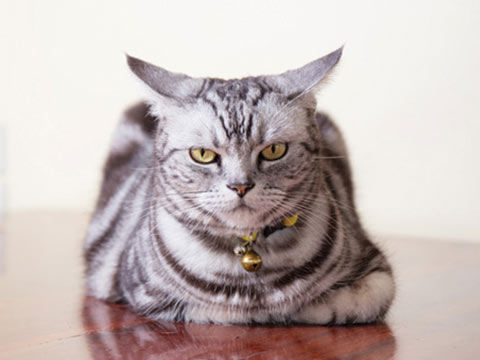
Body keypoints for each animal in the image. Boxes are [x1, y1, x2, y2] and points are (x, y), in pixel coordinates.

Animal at [84, 46, 396, 324]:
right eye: (203, 154)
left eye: (274, 151)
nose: (240, 186)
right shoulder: (142, 289)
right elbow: (216, 308)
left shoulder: (377, 270)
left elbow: (350, 302)